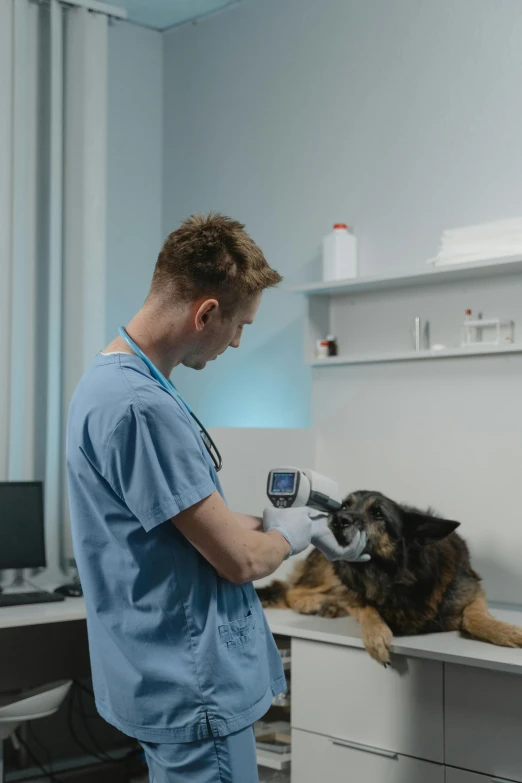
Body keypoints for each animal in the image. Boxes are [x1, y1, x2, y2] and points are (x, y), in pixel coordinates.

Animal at [256, 494, 520, 664]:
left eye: (378, 514)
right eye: (344, 506)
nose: (337, 519)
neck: (395, 577)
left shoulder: (471, 590)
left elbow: (475, 617)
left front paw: (506, 632)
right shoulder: (354, 591)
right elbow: (366, 608)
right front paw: (377, 636)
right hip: (330, 572)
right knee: (293, 590)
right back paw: (316, 604)